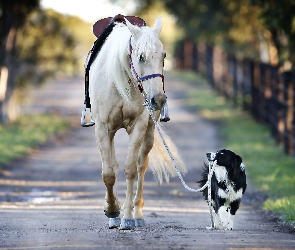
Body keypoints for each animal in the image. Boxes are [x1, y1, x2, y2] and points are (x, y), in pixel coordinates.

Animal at [88, 16, 187, 229]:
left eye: (164, 56)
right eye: (141, 57)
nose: (158, 100)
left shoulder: (139, 126)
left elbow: (131, 169)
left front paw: (126, 217)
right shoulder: (103, 128)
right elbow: (108, 173)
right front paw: (112, 210)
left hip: (149, 130)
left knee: (142, 165)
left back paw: (138, 213)